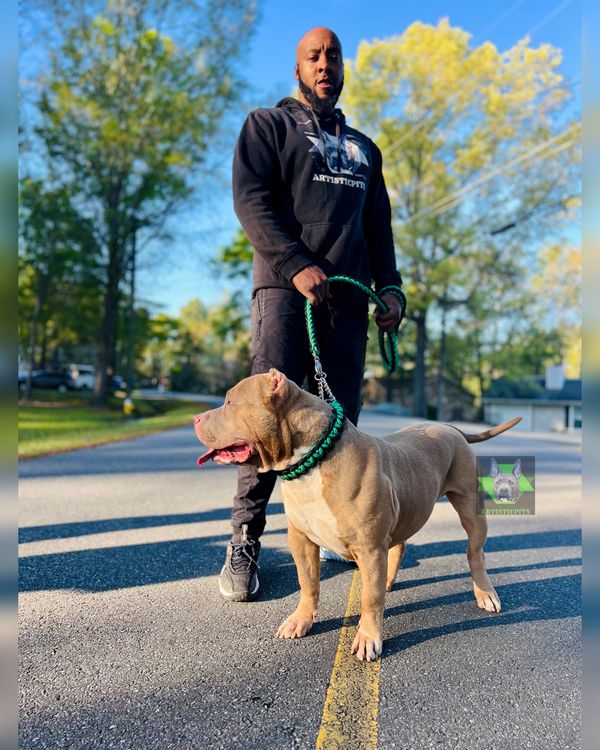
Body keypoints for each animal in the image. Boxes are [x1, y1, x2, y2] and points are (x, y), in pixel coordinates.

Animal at [196, 370, 520, 664]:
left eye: (228, 402)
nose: (196, 418)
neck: (312, 461)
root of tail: (452, 428)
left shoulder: (370, 548)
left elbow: (370, 598)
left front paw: (368, 637)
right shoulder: (300, 540)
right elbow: (307, 584)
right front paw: (301, 620)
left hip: (470, 510)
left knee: (475, 553)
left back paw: (484, 592)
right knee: (400, 545)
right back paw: (389, 579)